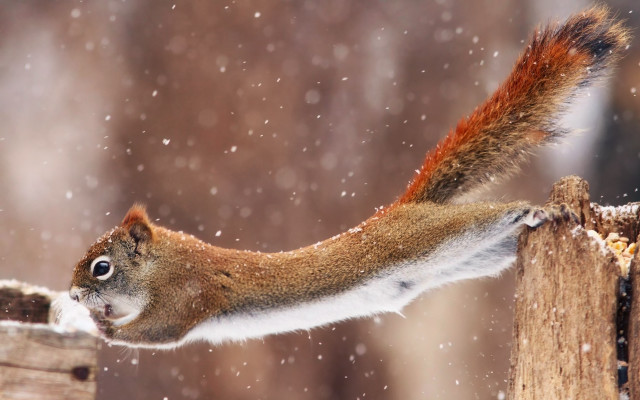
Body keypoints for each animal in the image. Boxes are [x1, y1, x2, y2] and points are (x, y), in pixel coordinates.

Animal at [69, 7, 629, 348]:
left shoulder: (185, 296)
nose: (73, 296)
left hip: (433, 235)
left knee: (490, 216)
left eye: (101, 268)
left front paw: (100, 326)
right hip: (468, 258)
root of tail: (401, 208)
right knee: (498, 244)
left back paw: (538, 208)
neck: (160, 265)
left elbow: (157, 333)